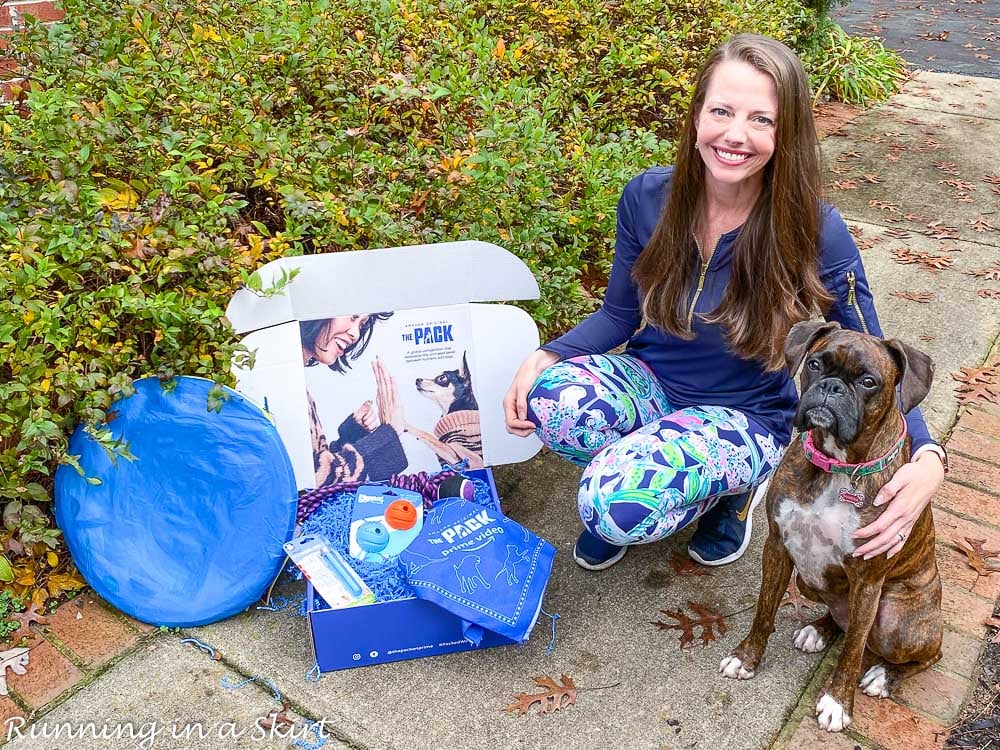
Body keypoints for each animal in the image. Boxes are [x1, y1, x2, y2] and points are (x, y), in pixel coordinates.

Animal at [720, 322, 936, 736]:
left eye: (868, 382)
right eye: (816, 364)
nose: (832, 387)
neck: (837, 466)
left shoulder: (867, 580)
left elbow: (852, 652)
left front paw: (837, 703)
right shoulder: (778, 546)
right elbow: (764, 610)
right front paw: (746, 657)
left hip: (895, 623)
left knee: (916, 652)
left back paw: (884, 675)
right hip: (808, 580)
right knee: (842, 620)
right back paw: (818, 629)